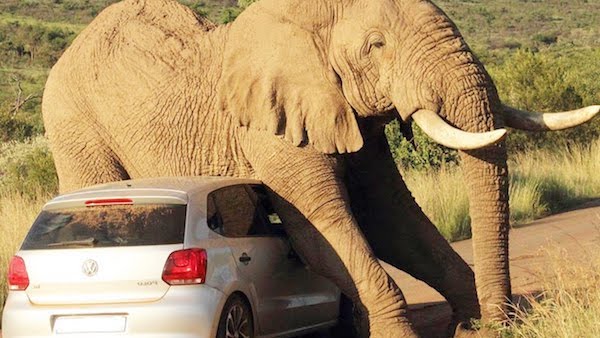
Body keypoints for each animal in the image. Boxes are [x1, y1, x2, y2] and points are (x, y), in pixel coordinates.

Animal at [41, 0, 596, 336]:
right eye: (376, 45)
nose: (498, 325)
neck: (309, 18)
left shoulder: (345, 111)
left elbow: (391, 222)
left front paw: (476, 324)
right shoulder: (270, 128)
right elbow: (322, 231)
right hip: (74, 125)